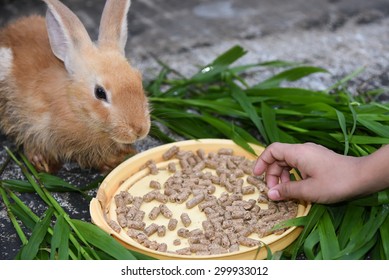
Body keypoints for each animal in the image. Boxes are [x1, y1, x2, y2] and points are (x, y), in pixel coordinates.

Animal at [0, 0, 150, 174]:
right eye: (100, 93)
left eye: (139, 80)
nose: (139, 130)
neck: (74, 106)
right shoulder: (31, 124)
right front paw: (44, 164)